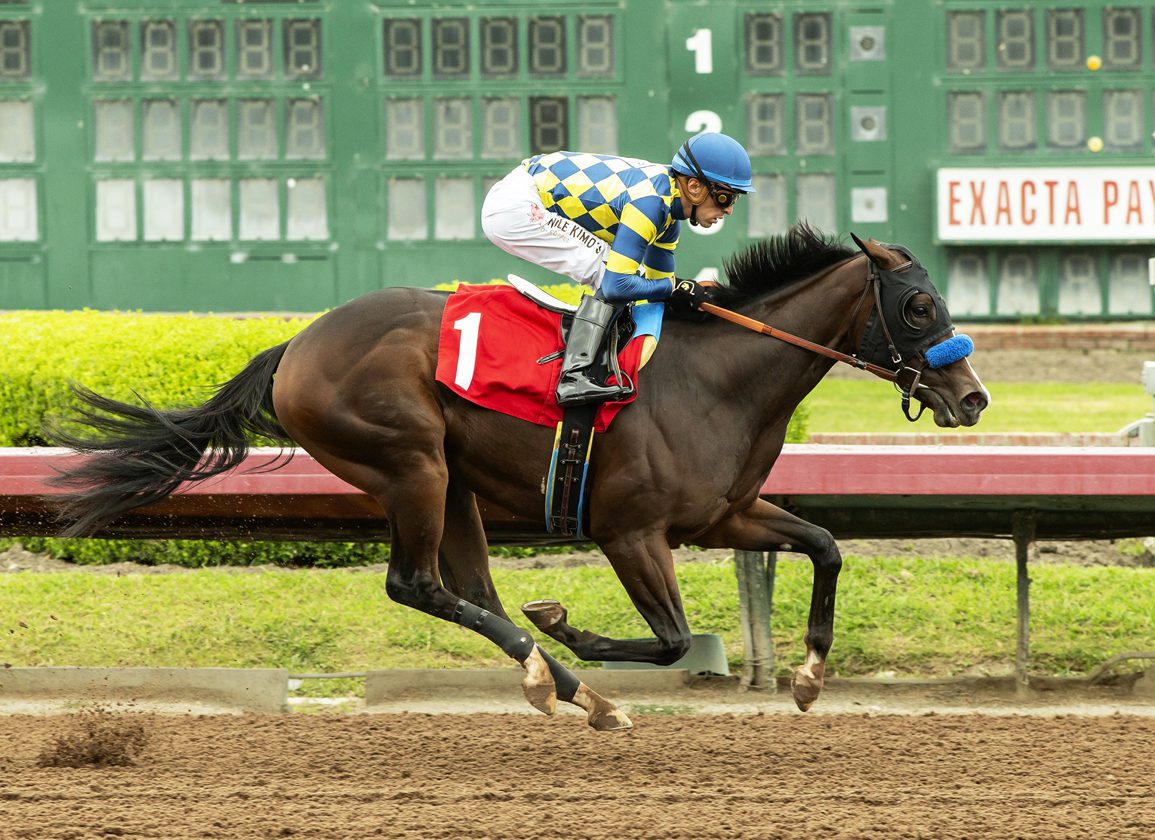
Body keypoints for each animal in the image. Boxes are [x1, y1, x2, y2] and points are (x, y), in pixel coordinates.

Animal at [54, 222, 988, 730]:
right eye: (917, 306)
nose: (973, 397)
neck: (716, 378)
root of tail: (297, 344)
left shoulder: (721, 516)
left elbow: (825, 545)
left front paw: (807, 677)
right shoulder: (629, 532)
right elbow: (673, 639)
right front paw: (567, 622)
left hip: (453, 483)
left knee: (466, 589)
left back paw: (575, 692)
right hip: (411, 464)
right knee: (415, 584)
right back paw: (559, 674)